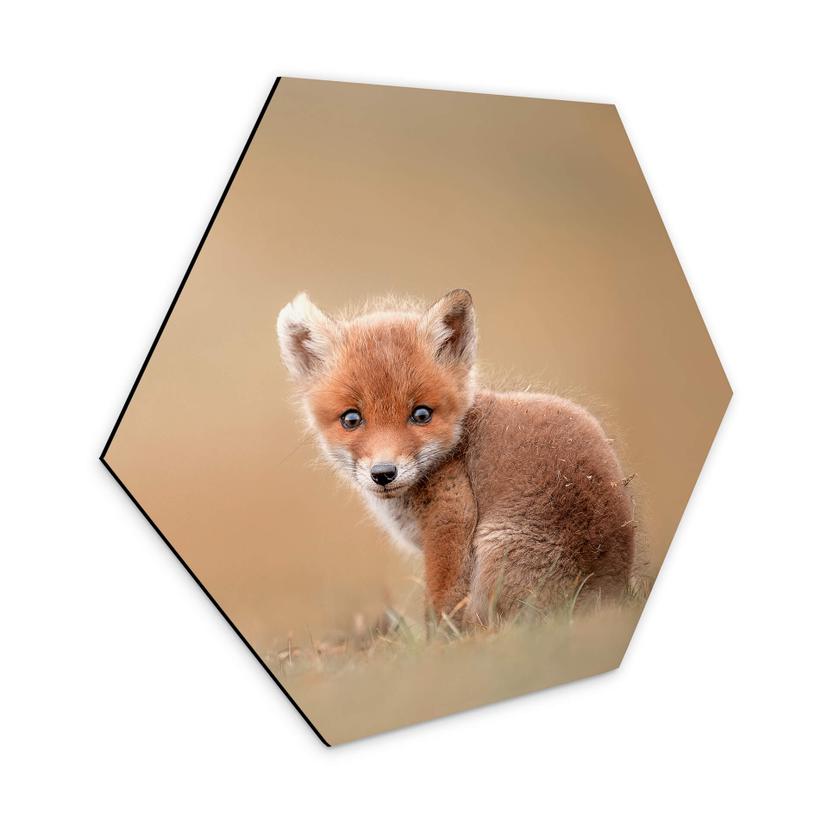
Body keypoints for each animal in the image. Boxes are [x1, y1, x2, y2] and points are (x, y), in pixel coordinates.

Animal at [276, 288, 635, 627]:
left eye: (421, 414)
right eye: (351, 419)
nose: (384, 473)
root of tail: (608, 592)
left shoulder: (451, 516)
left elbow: (442, 604)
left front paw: (437, 645)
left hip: (496, 553)